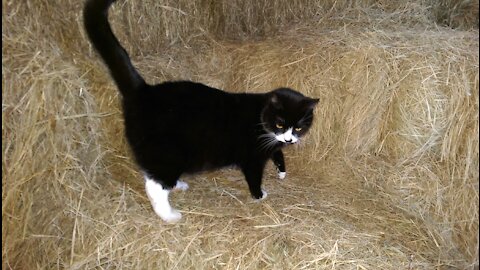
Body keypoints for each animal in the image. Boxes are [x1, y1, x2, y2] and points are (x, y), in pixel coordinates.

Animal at [84, 0, 320, 223]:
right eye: (280, 123)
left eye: (299, 127)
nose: (289, 139)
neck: (261, 119)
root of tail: (144, 91)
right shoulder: (252, 156)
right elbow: (254, 175)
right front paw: (259, 195)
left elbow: (277, 153)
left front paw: (282, 171)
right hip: (169, 152)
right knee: (155, 186)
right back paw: (169, 215)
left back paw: (178, 185)